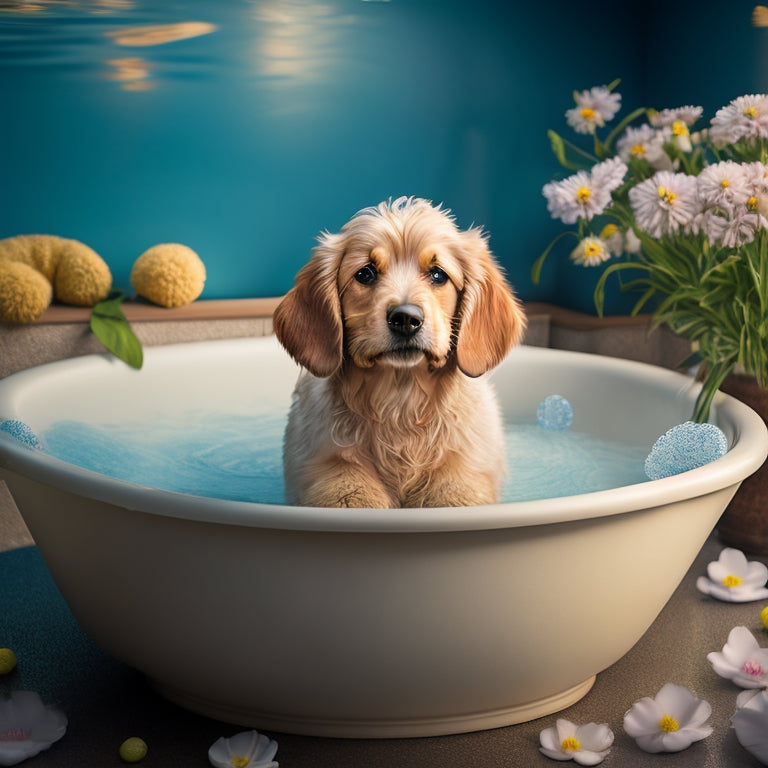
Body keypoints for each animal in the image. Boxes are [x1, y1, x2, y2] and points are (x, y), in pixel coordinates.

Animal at [272, 196, 524, 510]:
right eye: (365, 273)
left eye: (438, 274)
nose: (406, 318)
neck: (400, 404)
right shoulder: (339, 485)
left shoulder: (461, 484)